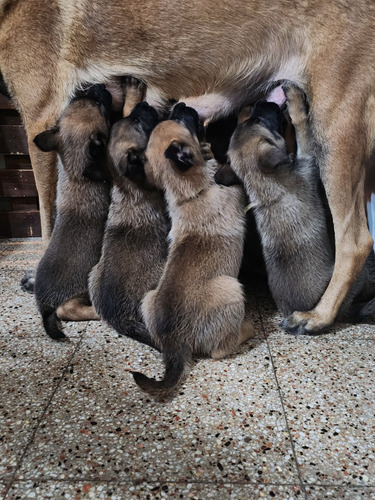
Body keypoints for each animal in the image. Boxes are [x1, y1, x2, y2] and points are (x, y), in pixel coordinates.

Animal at [33, 85, 112, 340]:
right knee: (67, 310)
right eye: (100, 105)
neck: (76, 166)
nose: (96, 86)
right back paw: (96, 311)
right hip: (76, 294)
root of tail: (44, 306)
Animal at [132, 103, 256, 400]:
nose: (180, 104)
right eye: (182, 119)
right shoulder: (233, 183)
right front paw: (244, 116)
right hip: (231, 289)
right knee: (220, 350)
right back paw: (247, 330)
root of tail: (175, 340)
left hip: (147, 298)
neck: (190, 192)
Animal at [216, 83, 375, 332]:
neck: (263, 184)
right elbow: (302, 129)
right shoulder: (307, 160)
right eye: (260, 120)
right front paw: (296, 104)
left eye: (253, 119)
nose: (259, 102)